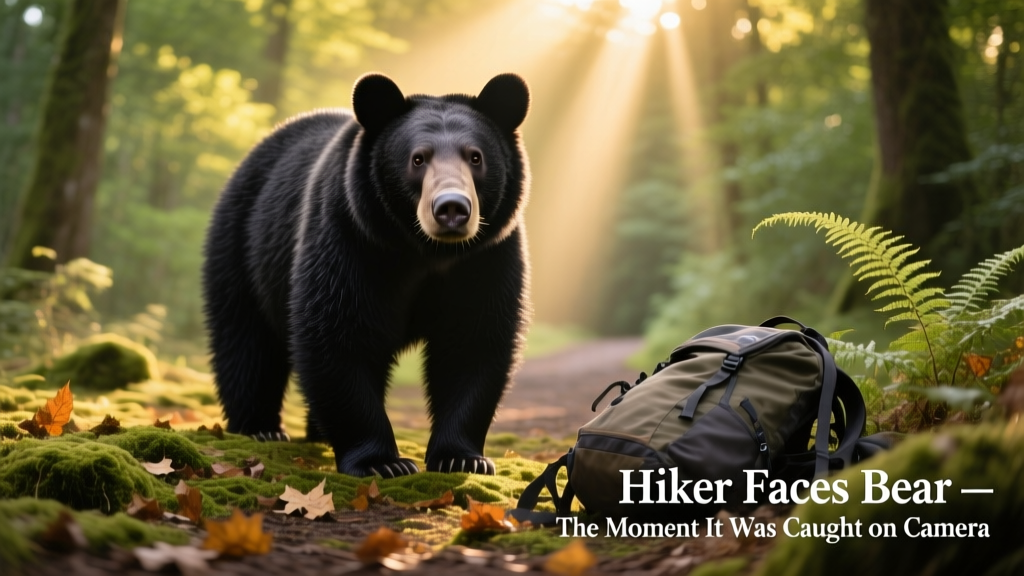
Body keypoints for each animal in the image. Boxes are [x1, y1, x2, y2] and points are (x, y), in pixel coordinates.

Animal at [202, 73, 531, 478]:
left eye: (475, 156)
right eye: (417, 158)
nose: (452, 208)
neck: (425, 252)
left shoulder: (486, 257)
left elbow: (472, 342)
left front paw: (463, 457)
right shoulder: (350, 239)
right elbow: (339, 335)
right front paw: (382, 462)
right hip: (243, 244)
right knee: (246, 339)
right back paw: (260, 427)